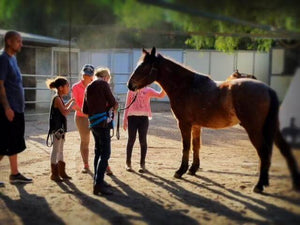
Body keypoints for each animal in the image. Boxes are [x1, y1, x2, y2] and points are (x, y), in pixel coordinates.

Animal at [127, 46, 300, 192]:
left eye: (143, 67)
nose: (130, 85)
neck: (186, 86)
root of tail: (268, 89)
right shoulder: (196, 126)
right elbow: (196, 146)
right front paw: (193, 169)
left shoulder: (184, 124)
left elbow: (186, 146)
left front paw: (180, 171)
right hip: (272, 128)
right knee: (283, 151)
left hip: (254, 130)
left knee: (264, 153)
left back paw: (259, 186)